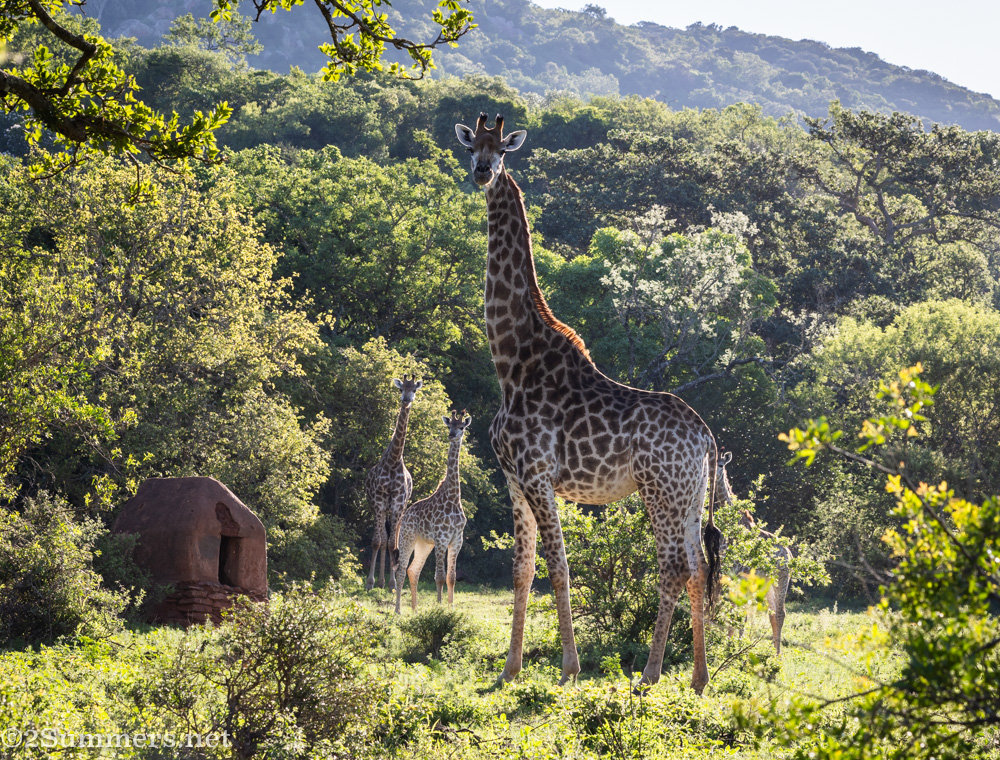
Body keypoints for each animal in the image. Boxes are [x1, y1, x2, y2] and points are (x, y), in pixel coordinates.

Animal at [365, 375, 423, 591]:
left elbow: (392, 544)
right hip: (379, 508)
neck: (393, 461)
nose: (406, 399)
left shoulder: (398, 504)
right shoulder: (379, 502)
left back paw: (388, 581)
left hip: (400, 509)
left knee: (394, 540)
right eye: (400, 389)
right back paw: (380, 581)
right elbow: (377, 542)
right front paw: (371, 582)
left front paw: (392, 584)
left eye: (414, 389)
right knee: (382, 539)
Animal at [392, 410, 472, 615]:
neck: (453, 497)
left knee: (413, 570)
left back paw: (414, 610)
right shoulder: (442, 538)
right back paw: (398, 611)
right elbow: (440, 576)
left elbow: (451, 577)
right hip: (407, 537)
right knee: (401, 570)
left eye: (462, 427)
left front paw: (451, 608)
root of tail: (404, 516)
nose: (452, 435)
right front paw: (439, 608)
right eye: (449, 425)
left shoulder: (457, 538)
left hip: (424, 544)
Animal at [455, 113, 723, 693]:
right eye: (470, 147)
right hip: (689, 496)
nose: (482, 172)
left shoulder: (537, 474)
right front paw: (509, 670)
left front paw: (569, 669)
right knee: (697, 566)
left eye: (501, 150)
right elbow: (522, 569)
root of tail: (706, 437)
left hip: (659, 490)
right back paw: (697, 678)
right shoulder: (513, 478)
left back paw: (649, 675)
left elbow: (558, 567)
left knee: (673, 566)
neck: (511, 358)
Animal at [716, 451, 792, 655]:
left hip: (781, 578)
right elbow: (733, 610)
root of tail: (789, 554)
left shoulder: (739, 575)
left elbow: (738, 613)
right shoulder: (728, 574)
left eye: (721, 465)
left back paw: (777, 655)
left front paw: (734, 647)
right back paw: (773, 652)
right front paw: (730, 645)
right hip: (767, 583)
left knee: (780, 612)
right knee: (773, 613)